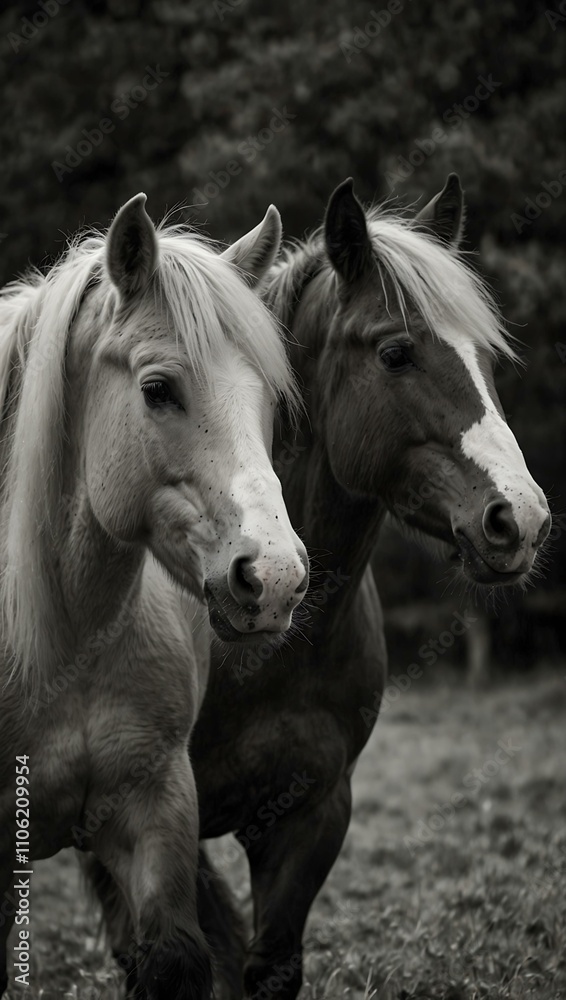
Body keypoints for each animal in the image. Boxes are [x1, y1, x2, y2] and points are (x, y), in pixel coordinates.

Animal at [89, 175, 551, 999]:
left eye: (487, 359)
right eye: (397, 352)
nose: (519, 519)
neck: (261, 649)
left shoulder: (313, 815)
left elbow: (269, 965)